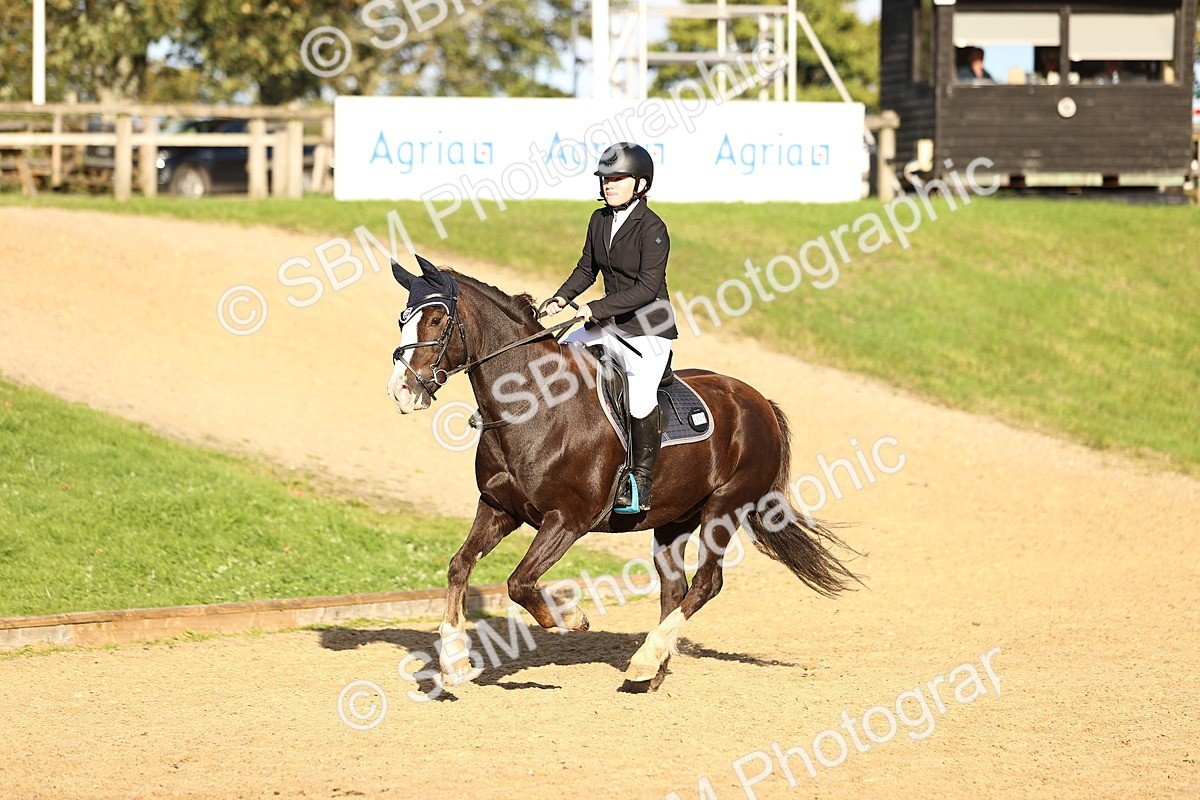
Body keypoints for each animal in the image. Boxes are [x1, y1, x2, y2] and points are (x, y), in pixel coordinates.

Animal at [385, 255, 859, 692]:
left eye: (436, 319)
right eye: (403, 319)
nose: (401, 391)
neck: (533, 405)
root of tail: (758, 402)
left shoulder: (567, 521)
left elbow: (519, 582)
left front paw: (572, 617)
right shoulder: (499, 509)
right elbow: (459, 566)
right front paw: (455, 660)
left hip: (725, 510)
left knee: (706, 583)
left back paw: (646, 658)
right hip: (673, 520)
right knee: (674, 588)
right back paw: (652, 669)